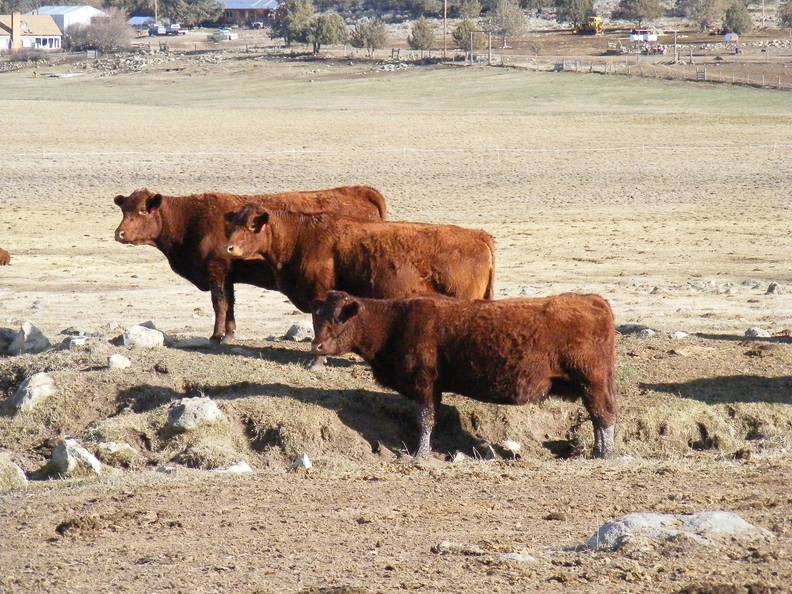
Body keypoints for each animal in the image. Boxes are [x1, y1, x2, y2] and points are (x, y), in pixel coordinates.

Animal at [223, 207, 496, 366]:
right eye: (233, 225)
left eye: (252, 226)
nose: (229, 248)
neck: (302, 237)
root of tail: (478, 236)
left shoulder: (320, 296)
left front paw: (317, 361)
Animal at [310, 290, 620, 456]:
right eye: (317, 315)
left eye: (339, 317)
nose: (317, 345)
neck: (394, 322)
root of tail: (593, 300)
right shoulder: (433, 389)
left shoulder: (424, 384)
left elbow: (425, 420)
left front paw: (420, 455)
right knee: (599, 418)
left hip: (592, 382)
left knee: (603, 416)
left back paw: (604, 454)